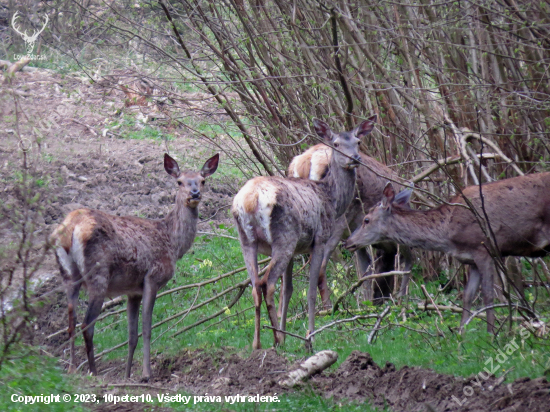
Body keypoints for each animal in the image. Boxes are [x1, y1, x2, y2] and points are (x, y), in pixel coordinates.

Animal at [50, 153, 220, 378]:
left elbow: (132, 335)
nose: (195, 193)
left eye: (202, 180)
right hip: (98, 274)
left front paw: (128, 374)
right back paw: (93, 371)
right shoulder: (153, 277)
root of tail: (71, 227)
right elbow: (147, 328)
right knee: (87, 324)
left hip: (68, 274)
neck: (172, 243)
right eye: (179, 181)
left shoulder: (132, 291)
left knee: (71, 322)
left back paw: (71, 369)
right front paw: (147, 374)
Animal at [231, 116, 378, 350]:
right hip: (285, 235)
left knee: (255, 286)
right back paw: (276, 339)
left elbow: (288, 290)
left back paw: (258, 343)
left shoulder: (297, 250)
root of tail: (250, 199)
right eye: (335, 144)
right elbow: (310, 290)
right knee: (267, 283)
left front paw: (288, 331)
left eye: (358, 142)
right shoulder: (319, 240)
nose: (354, 159)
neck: (331, 198)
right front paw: (310, 336)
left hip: (247, 240)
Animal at [286, 145, 412, 302]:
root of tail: (308, 160)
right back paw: (328, 306)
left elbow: (365, 271)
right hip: (337, 220)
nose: (381, 298)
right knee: (320, 267)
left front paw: (366, 303)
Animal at [348, 172, 550, 334]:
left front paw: (492, 334)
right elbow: (468, 296)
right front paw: (460, 334)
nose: (348, 242)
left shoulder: (484, 249)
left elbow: (487, 295)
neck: (448, 234)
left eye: (366, 220)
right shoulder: (471, 259)